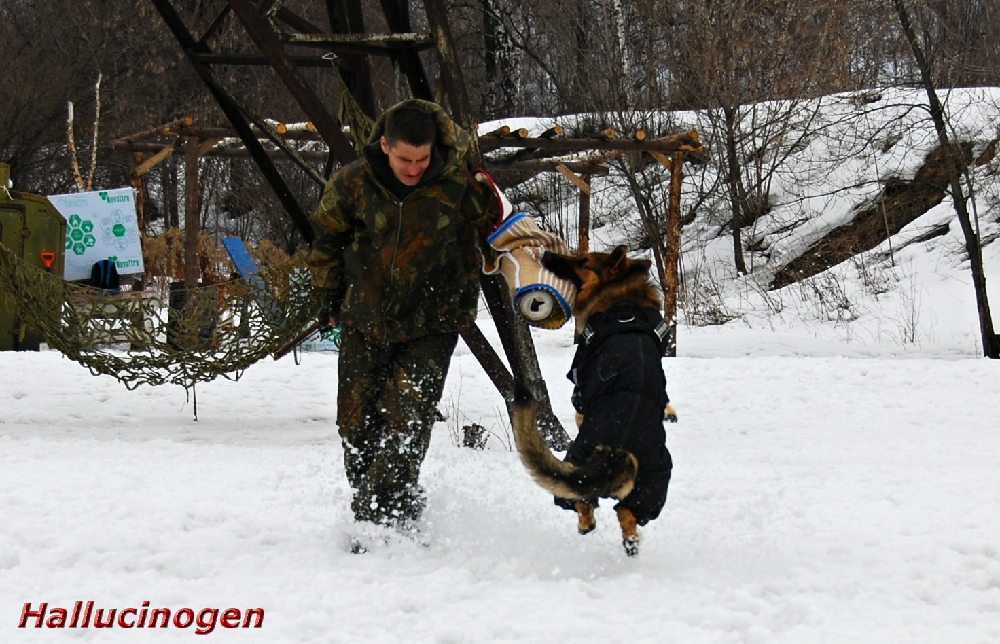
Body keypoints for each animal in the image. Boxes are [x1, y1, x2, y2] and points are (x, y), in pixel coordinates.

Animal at [516, 244, 672, 556]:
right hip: (654, 485)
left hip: (575, 466)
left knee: (583, 501)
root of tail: (617, 452)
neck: (621, 295)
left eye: (583, 261)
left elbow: (579, 404)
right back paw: (630, 540)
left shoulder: (579, 383)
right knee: (626, 511)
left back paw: (586, 523)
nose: (547, 255)